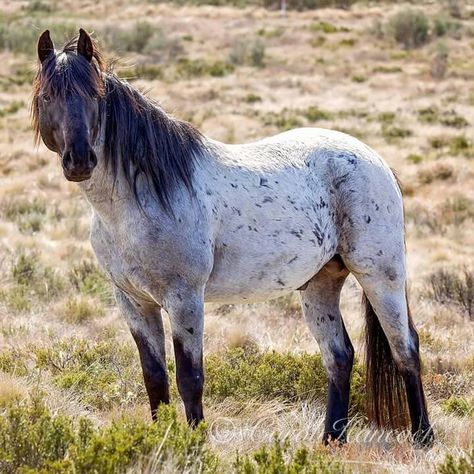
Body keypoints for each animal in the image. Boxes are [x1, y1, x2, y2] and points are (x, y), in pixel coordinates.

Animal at [32, 28, 434, 444]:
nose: (80, 160)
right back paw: (330, 441)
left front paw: (196, 445)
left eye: (94, 96)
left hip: (380, 276)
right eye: (47, 96)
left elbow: (190, 378)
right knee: (339, 356)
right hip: (320, 284)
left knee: (405, 348)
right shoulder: (133, 302)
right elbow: (154, 378)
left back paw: (422, 438)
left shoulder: (185, 299)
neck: (138, 202)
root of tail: (375, 159)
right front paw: (160, 442)